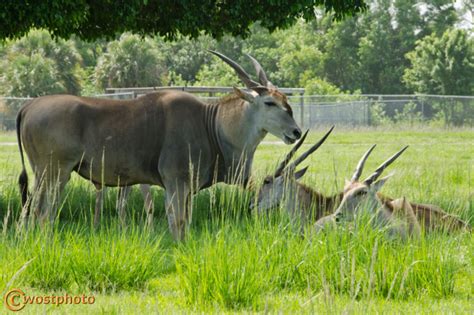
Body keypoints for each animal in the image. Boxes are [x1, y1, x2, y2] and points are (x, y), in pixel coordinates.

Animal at [17, 50, 304, 241]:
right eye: (269, 103)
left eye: (285, 100)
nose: (296, 132)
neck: (210, 124)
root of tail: (29, 106)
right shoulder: (176, 181)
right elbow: (178, 221)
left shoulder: (184, 187)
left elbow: (182, 221)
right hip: (56, 173)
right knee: (43, 214)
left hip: (44, 175)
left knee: (32, 213)